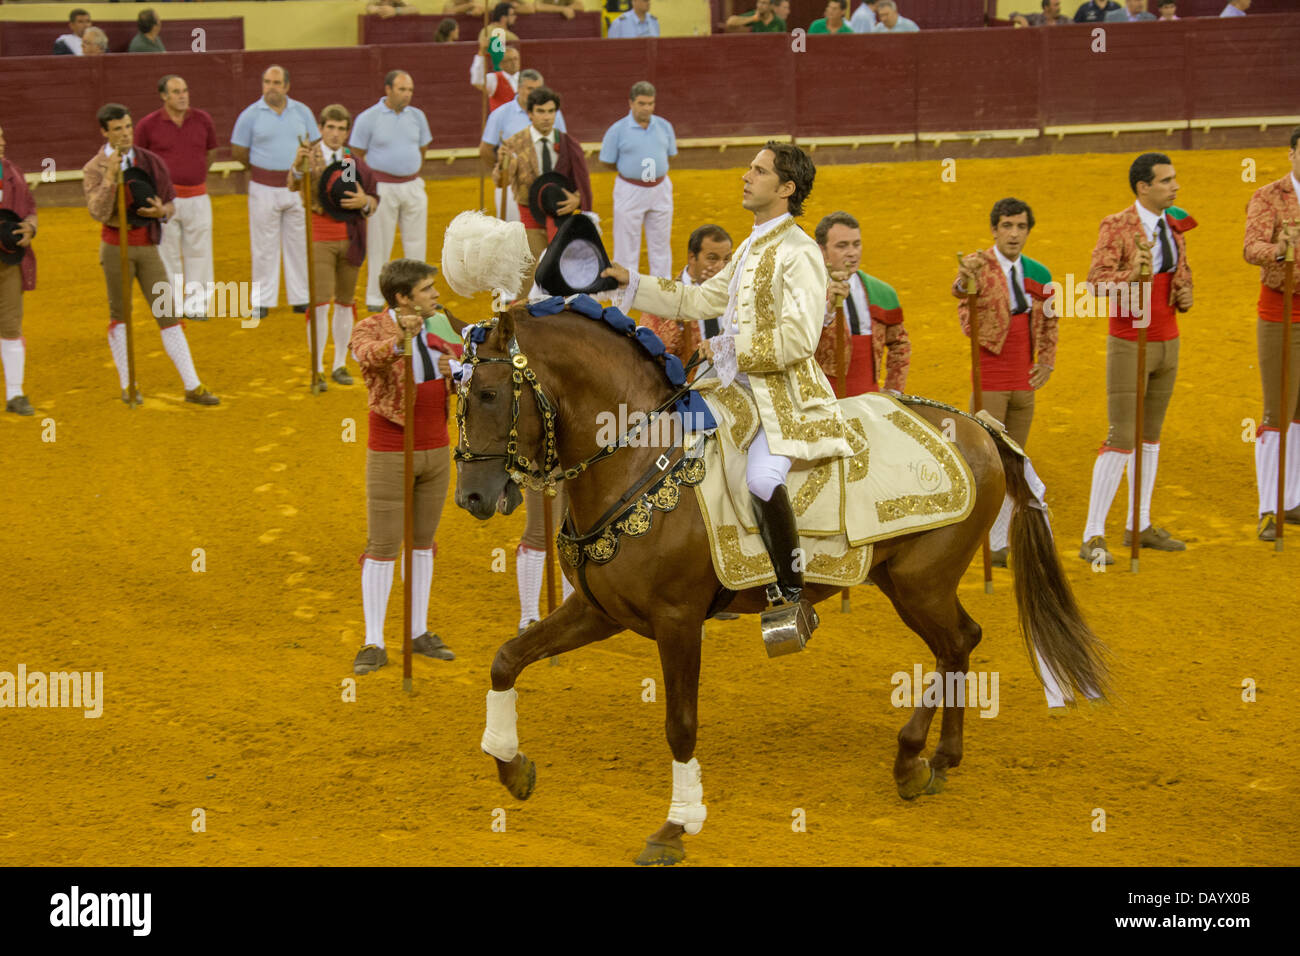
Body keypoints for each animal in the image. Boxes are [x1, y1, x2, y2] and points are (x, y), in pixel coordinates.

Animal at [452, 306, 1102, 868]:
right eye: (456, 396)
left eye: (489, 394)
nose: (472, 498)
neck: (640, 461)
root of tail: (978, 427)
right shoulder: (598, 611)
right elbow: (507, 658)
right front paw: (511, 766)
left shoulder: (677, 620)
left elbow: (680, 724)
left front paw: (675, 827)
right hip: (906, 582)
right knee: (959, 645)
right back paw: (936, 758)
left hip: (922, 583)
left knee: (958, 642)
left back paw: (914, 757)